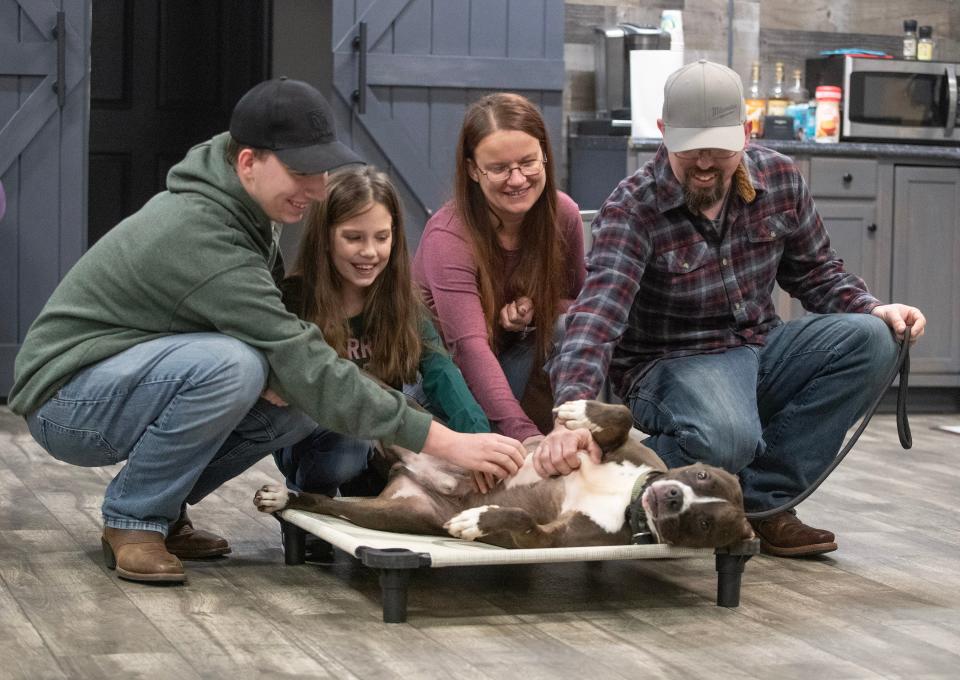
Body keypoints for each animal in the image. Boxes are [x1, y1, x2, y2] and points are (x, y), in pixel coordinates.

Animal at [255, 402, 756, 548]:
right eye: (702, 476)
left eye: (704, 523)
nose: (671, 497)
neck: (626, 495)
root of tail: (406, 476)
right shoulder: (624, 450)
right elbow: (620, 415)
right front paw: (580, 411)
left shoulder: (550, 541)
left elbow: (524, 522)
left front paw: (478, 520)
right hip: (418, 428)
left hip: (390, 514)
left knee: (326, 501)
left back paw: (284, 498)